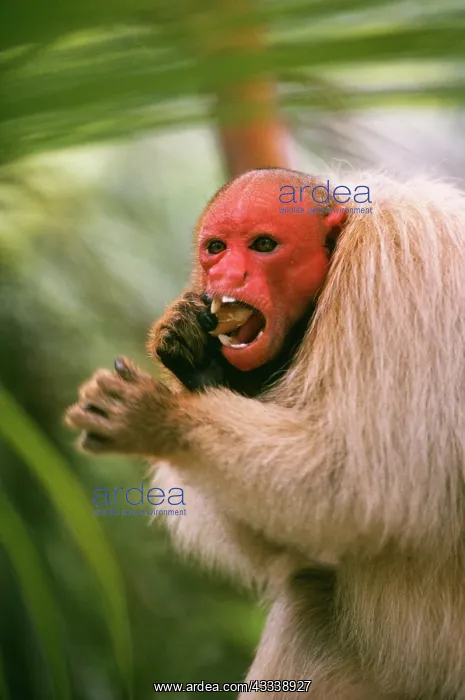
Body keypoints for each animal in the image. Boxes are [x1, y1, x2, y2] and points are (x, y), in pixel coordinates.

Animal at [65, 168, 465, 699]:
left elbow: (360, 483)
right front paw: (197, 363)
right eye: (216, 248)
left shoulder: (399, 269)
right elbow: (292, 538)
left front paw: (162, 420)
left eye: (263, 245)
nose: (227, 277)